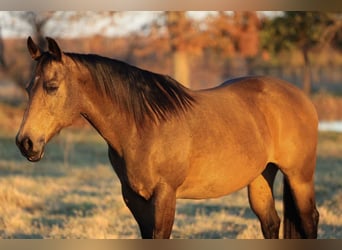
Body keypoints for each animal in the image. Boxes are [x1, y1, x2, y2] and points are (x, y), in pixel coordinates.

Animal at [15, 36, 320, 238]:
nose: (25, 142)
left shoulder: (165, 195)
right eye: (29, 88)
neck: (142, 127)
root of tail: (300, 97)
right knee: (270, 223)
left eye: (52, 86)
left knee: (309, 221)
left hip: (299, 178)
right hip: (260, 177)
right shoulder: (134, 198)